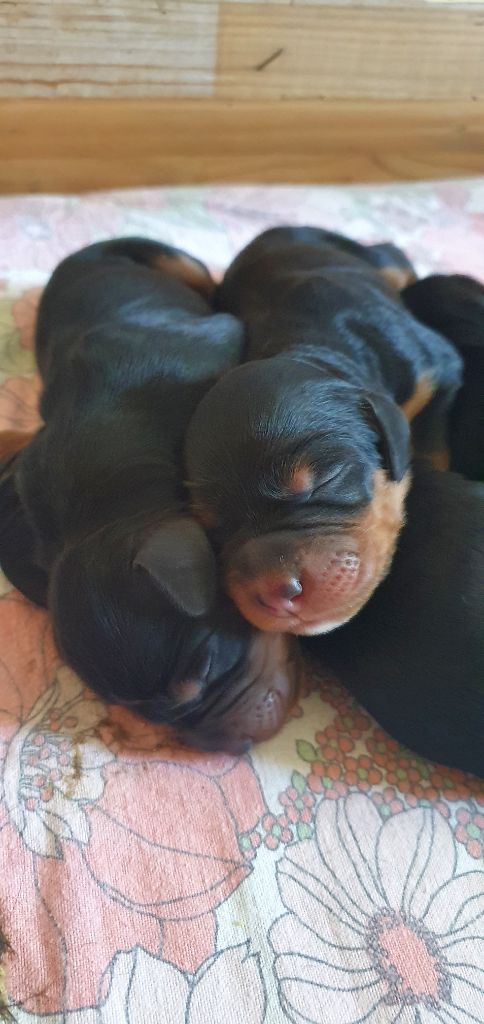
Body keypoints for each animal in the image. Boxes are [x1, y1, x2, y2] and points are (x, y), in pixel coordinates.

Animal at [184, 228, 460, 634]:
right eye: (215, 529)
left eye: (325, 479)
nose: (275, 593)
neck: (305, 346)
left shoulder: (438, 369)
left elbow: (431, 446)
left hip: (375, 260)